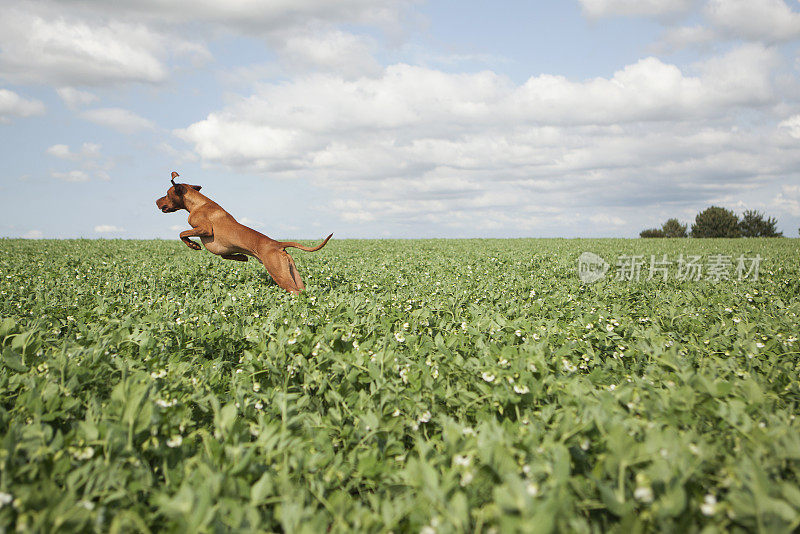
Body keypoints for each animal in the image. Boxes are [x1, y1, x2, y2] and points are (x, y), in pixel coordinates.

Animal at [156, 173, 332, 296]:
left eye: (166, 193)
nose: (156, 201)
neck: (198, 203)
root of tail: (278, 244)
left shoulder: (205, 229)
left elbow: (182, 233)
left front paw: (193, 245)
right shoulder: (223, 247)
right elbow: (226, 255)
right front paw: (242, 257)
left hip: (278, 274)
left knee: (294, 292)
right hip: (293, 273)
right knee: (302, 290)